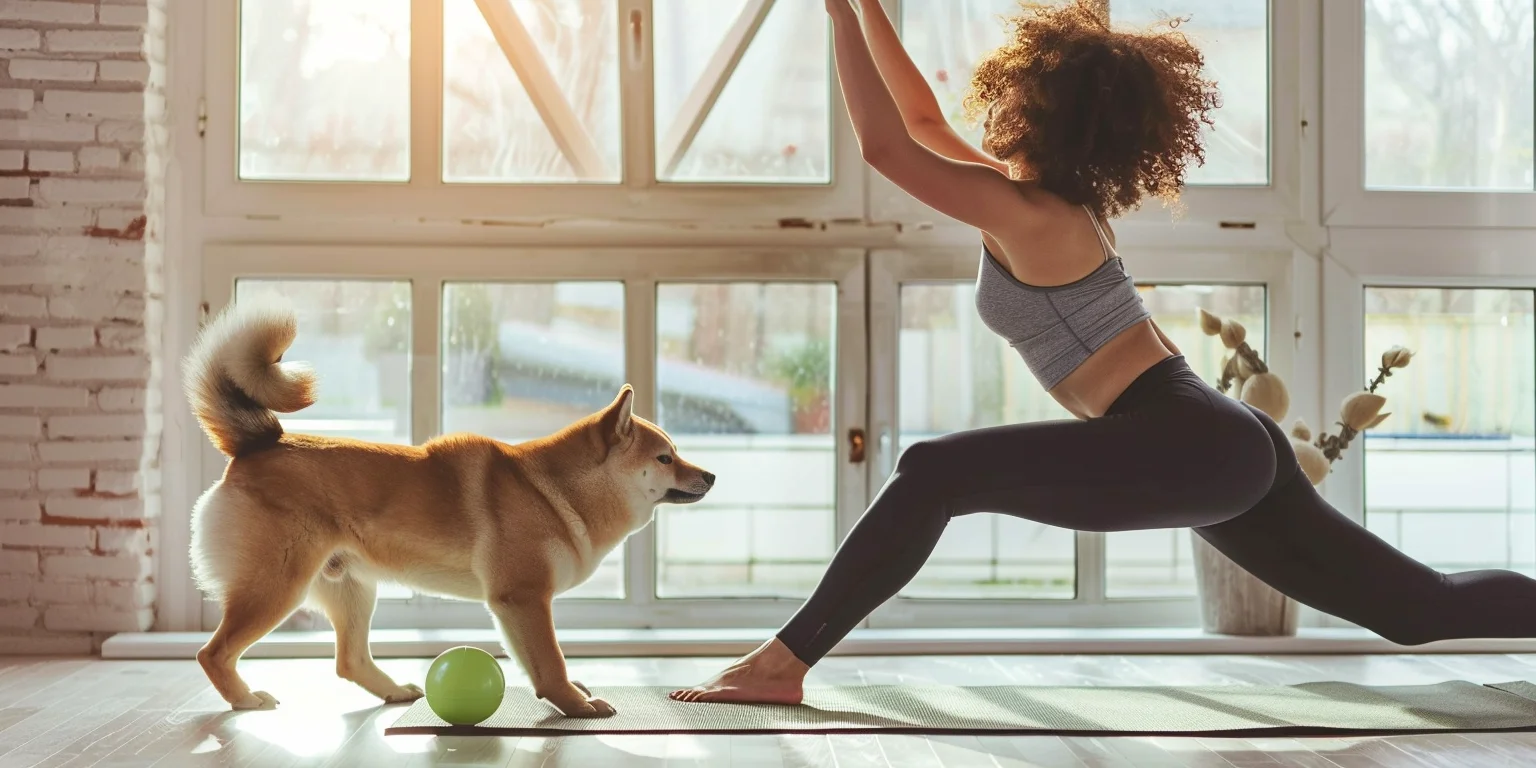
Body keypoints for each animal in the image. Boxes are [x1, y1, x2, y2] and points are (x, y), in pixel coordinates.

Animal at [184, 297, 712, 712]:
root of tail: (259, 444)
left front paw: (557, 698)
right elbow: (552, 661)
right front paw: (576, 705)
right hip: (277, 587)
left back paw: (394, 692)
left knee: (349, 661)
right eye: (665, 458)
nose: (710, 475)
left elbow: (534, 665)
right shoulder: (524, 598)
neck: (556, 489)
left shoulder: (513, 607)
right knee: (214, 654)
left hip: (352, 589)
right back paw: (244, 699)